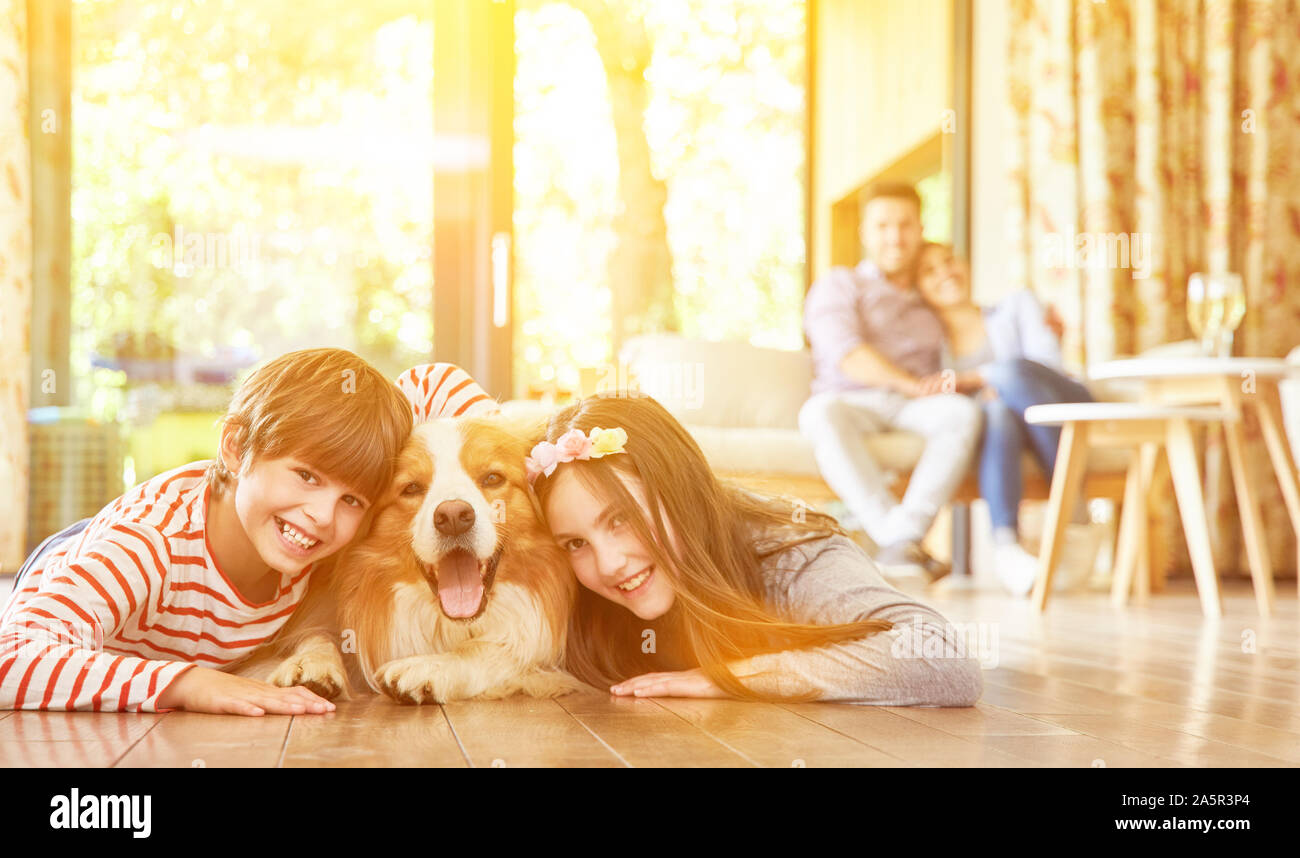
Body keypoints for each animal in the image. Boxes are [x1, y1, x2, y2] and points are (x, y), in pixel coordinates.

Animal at [243, 416, 585, 702]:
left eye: (492, 478)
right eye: (411, 488)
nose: (453, 517)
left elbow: (499, 649)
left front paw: (431, 667)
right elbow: (316, 635)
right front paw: (310, 662)